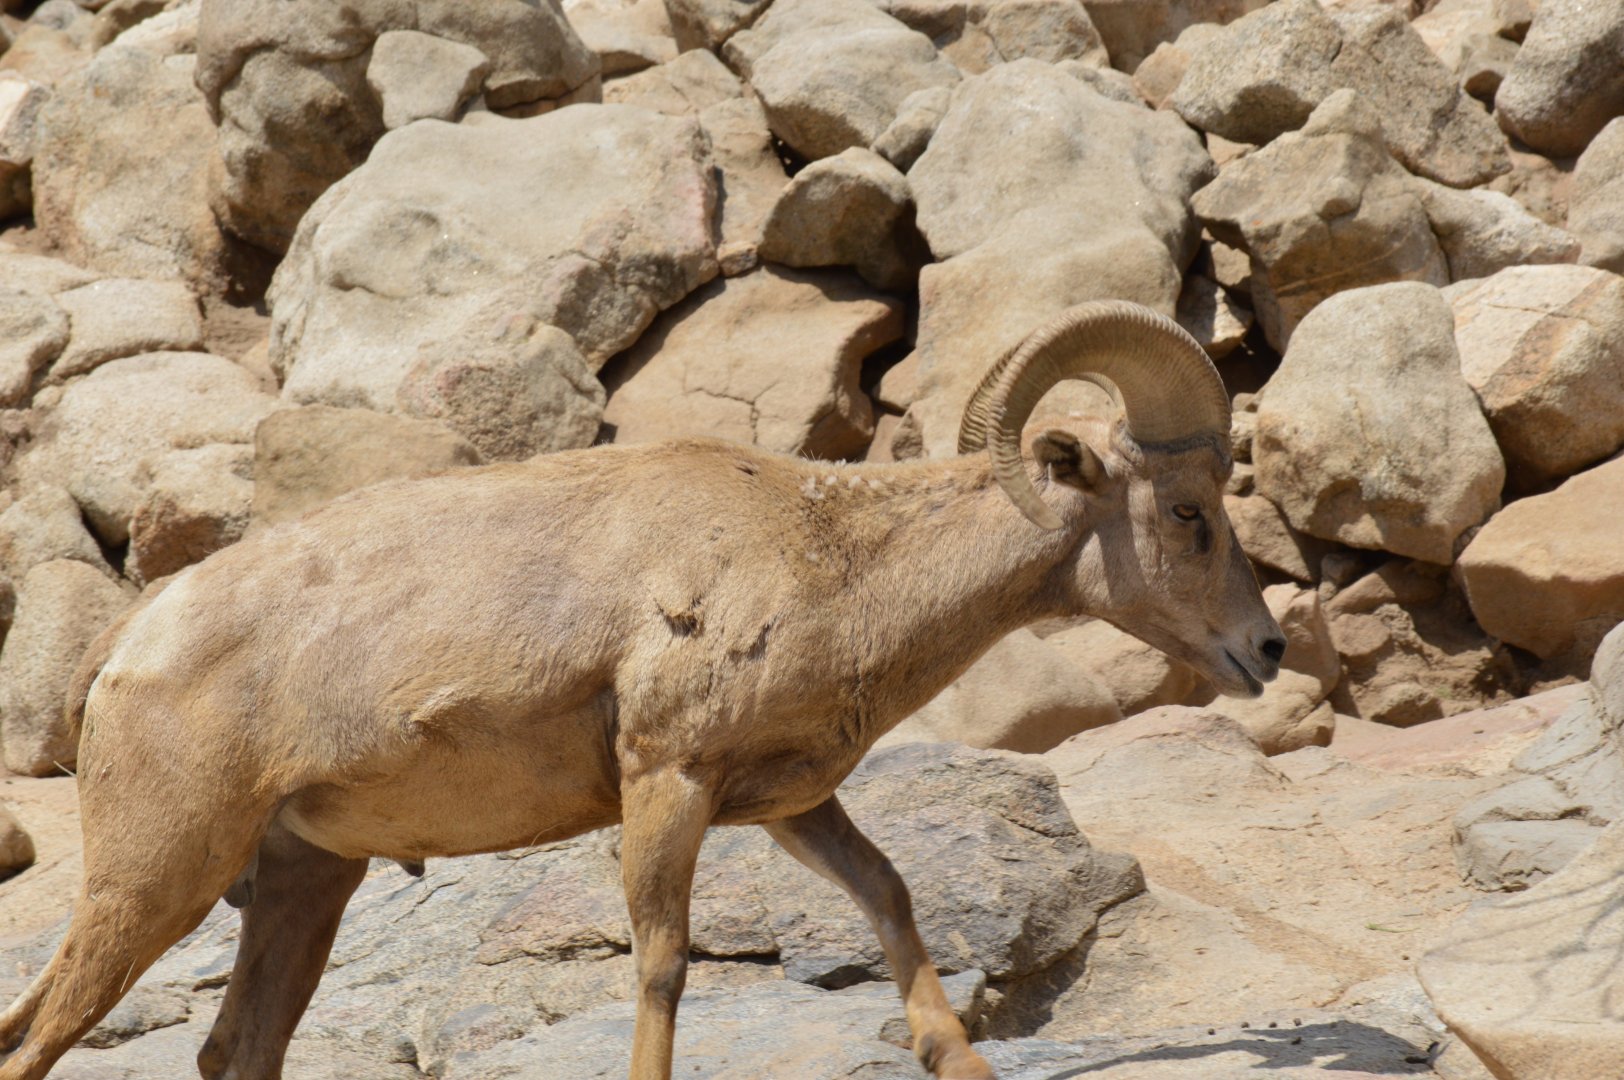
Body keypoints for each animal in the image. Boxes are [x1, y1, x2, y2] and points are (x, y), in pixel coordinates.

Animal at [0, 300, 1285, 1080]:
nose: (1266, 651)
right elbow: (665, 960)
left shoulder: (786, 803)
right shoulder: (667, 782)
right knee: (39, 1038)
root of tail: (127, 653)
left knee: (235, 1048)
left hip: (302, 882)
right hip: (157, 882)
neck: (833, 557)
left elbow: (889, 894)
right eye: (1186, 514)